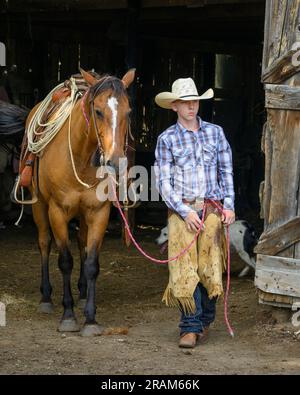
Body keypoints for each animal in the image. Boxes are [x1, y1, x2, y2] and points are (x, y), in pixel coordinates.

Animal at [26, 69, 135, 338]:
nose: (115, 161)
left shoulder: (98, 212)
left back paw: (83, 291)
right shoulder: (57, 212)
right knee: (44, 243)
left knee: (81, 242)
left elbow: (91, 262)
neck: (79, 155)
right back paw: (46, 297)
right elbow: (65, 261)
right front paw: (68, 315)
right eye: (98, 111)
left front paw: (91, 318)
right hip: (38, 206)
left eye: (128, 112)